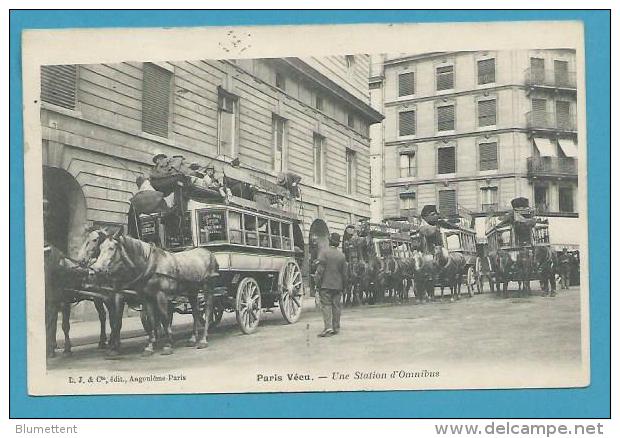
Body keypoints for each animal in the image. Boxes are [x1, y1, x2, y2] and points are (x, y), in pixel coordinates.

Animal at [91, 231, 219, 354]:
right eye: (100, 248)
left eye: (112, 248)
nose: (95, 269)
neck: (151, 265)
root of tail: (208, 252)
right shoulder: (147, 297)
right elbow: (152, 320)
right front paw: (150, 346)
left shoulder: (161, 295)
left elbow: (164, 317)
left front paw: (168, 344)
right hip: (192, 290)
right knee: (195, 312)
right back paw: (192, 338)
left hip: (208, 287)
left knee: (208, 310)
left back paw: (203, 339)